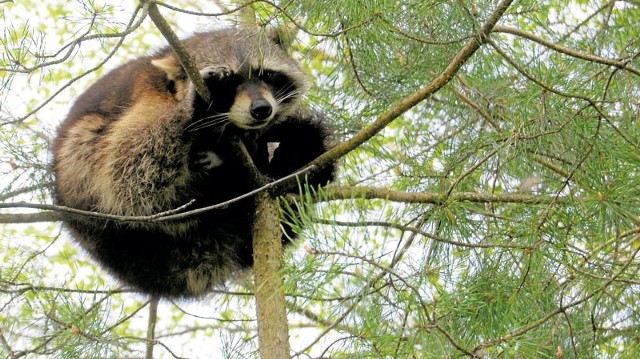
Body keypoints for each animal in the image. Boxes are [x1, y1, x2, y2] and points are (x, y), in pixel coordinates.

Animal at [51, 27, 336, 298]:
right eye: (231, 84)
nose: (261, 109)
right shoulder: (149, 96)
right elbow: (127, 170)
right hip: (80, 178)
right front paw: (193, 105)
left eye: (266, 74)